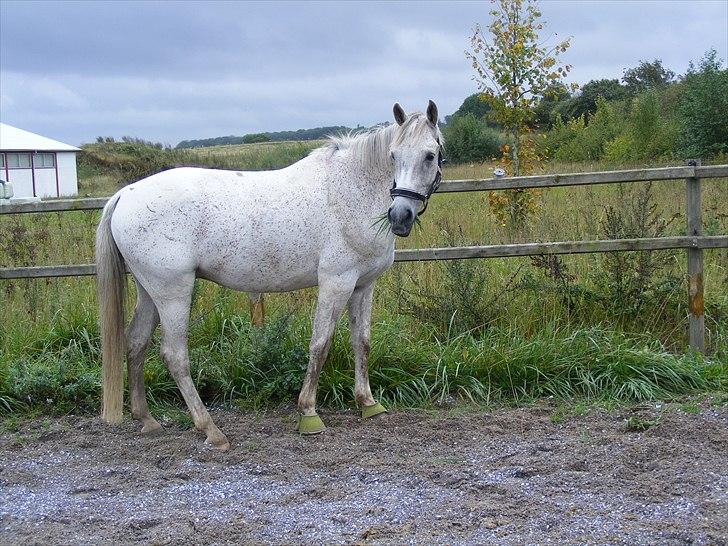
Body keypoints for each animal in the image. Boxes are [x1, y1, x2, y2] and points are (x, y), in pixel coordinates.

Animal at [96, 100, 444, 448]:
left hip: (149, 290)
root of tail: (125, 194)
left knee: (136, 342)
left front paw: (368, 404)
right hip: (173, 293)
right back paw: (211, 430)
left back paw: (147, 419)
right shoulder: (336, 282)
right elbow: (320, 344)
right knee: (174, 355)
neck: (352, 189)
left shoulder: (363, 285)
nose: (400, 216)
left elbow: (362, 341)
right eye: (394, 156)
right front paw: (309, 414)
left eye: (429, 155)